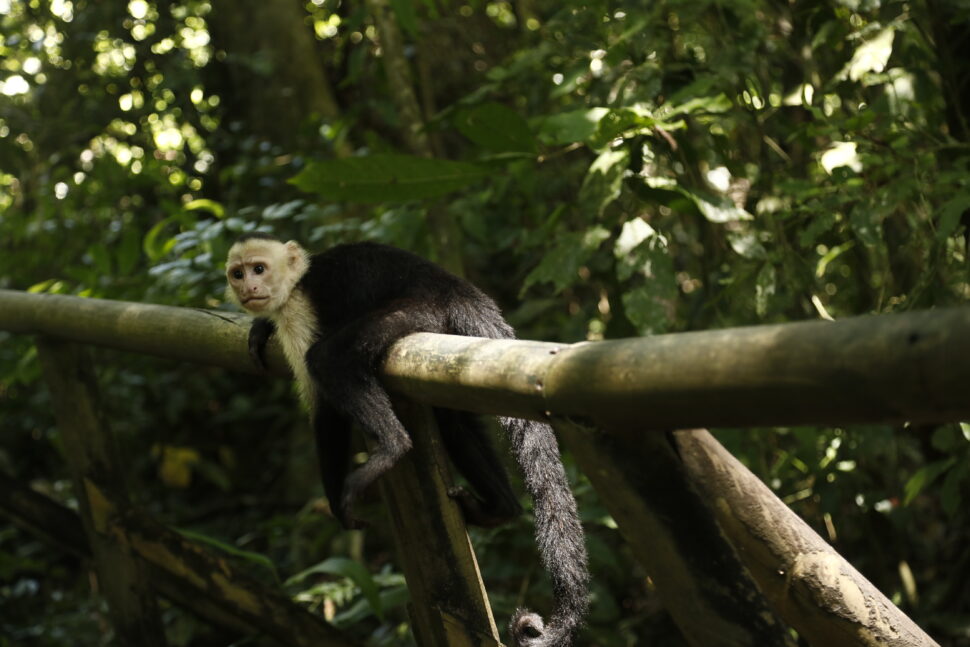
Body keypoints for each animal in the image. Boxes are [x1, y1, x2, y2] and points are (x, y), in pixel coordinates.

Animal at [225, 234, 588, 647]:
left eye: (259, 268)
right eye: (237, 273)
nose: (249, 287)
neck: (294, 282)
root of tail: (455, 287)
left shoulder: (300, 309)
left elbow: (325, 409)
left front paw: (336, 503)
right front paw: (259, 327)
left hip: (416, 312)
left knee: (330, 357)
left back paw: (392, 446)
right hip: (443, 342)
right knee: (453, 422)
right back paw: (502, 507)